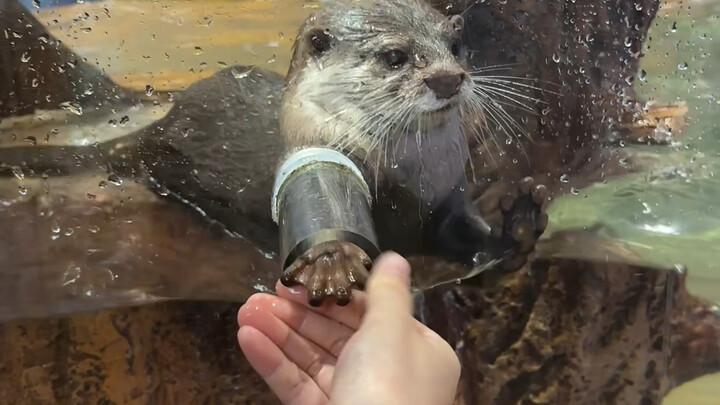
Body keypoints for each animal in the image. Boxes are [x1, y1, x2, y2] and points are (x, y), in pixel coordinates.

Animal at [1, 0, 548, 306]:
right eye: (395, 56)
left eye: (455, 47)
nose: (449, 78)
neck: (408, 177)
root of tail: (166, 118)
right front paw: (331, 261)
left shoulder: (446, 197)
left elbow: (467, 234)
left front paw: (518, 224)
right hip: (176, 162)